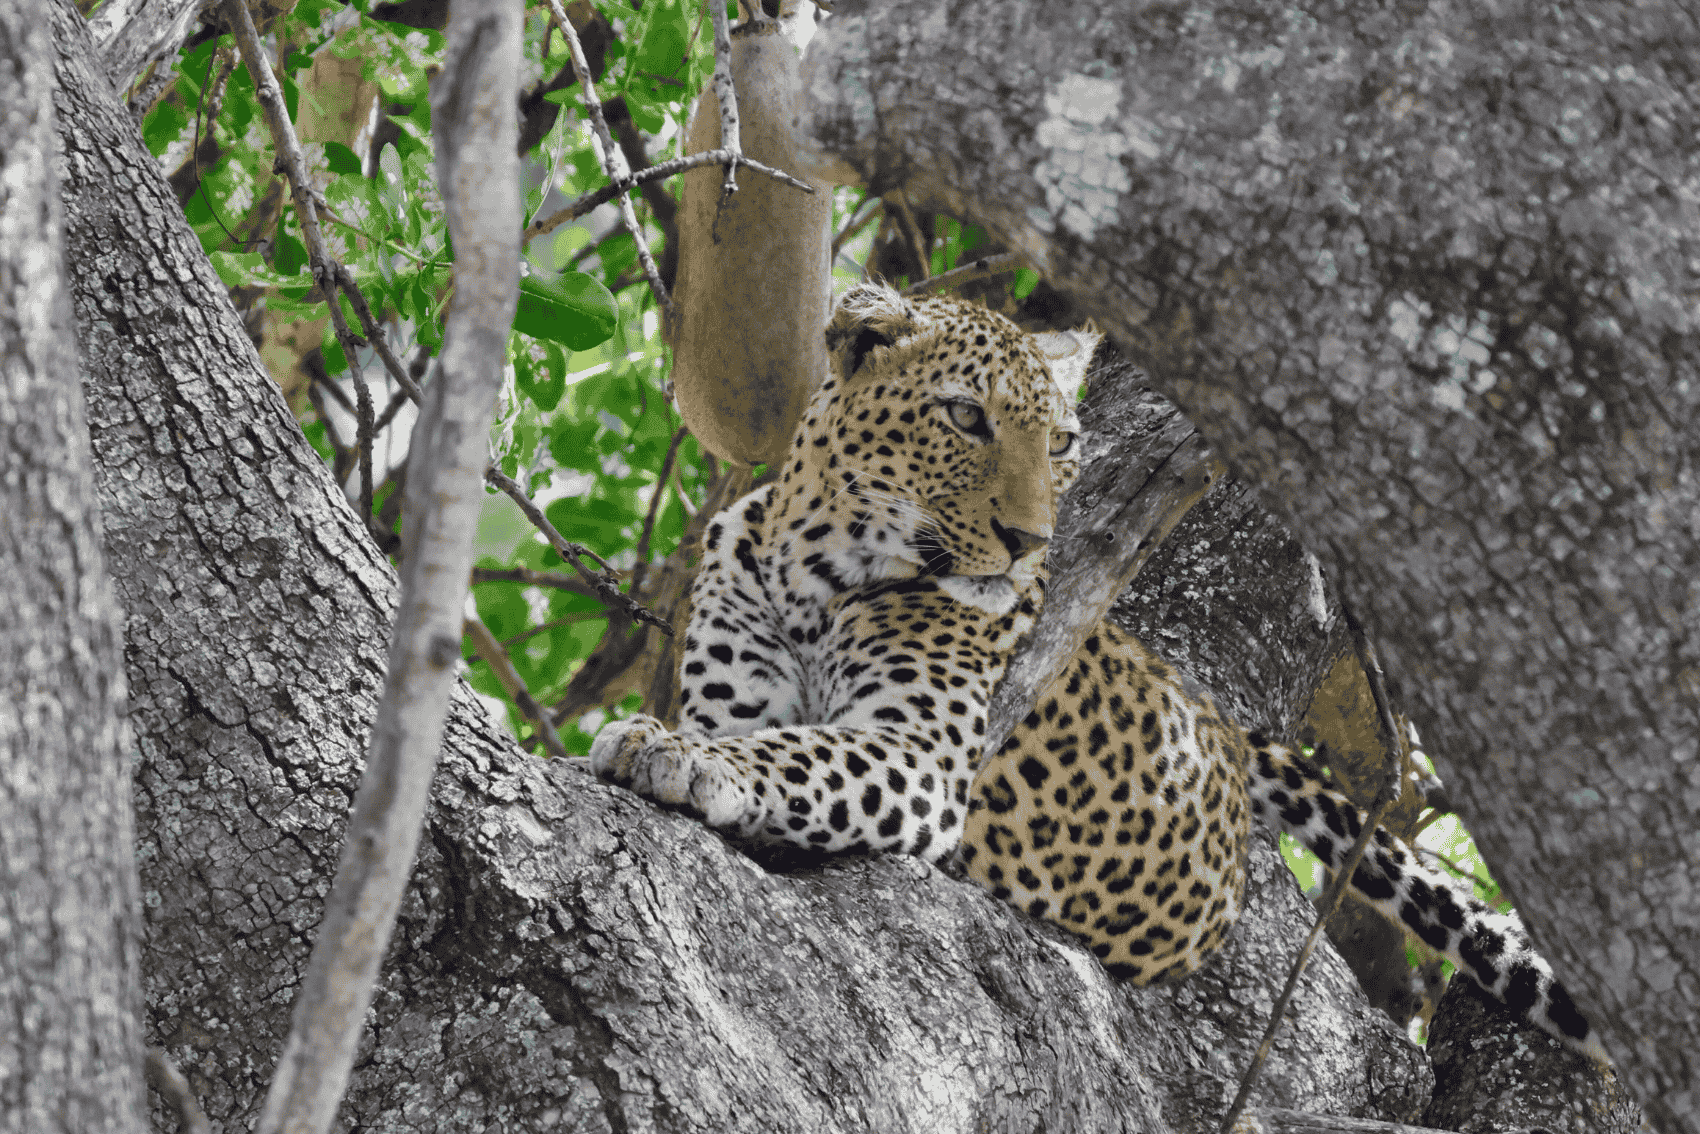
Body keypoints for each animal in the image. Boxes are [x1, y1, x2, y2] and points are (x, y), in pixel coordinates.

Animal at [591, 281, 1606, 1062]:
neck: (814, 571)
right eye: (965, 417)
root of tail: (1224, 725)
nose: (1029, 541)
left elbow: (799, 752)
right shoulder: (745, 691)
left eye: (1064, 446)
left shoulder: (921, 754)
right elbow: (774, 736)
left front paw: (675, 754)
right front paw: (677, 744)